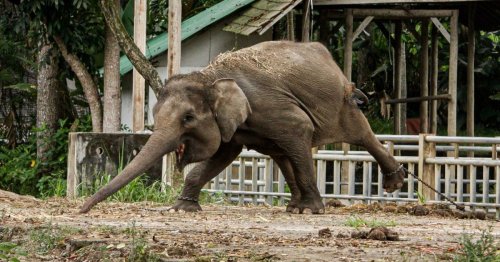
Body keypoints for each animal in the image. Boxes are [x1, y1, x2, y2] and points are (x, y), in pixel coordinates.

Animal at [78, 42, 406, 215]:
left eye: (188, 118)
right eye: (155, 114)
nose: (81, 210)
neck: (209, 76)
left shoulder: (272, 107)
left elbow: (299, 129)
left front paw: (312, 211)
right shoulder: (232, 124)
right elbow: (223, 155)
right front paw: (181, 209)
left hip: (342, 102)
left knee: (359, 133)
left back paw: (394, 183)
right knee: (283, 154)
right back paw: (292, 206)